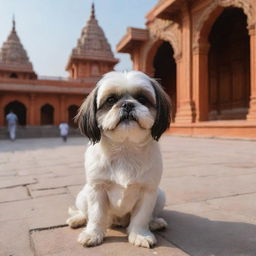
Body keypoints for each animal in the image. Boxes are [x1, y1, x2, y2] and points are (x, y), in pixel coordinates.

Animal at [66, 70, 171, 248]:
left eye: (142, 99)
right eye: (111, 100)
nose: (127, 104)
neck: (125, 149)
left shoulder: (148, 190)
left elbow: (141, 216)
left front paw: (140, 234)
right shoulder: (97, 188)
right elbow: (96, 215)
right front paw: (93, 234)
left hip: (160, 195)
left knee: (150, 215)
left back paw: (154, 222)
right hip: (83, 195)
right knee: (85, 212)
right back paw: (78, 219)